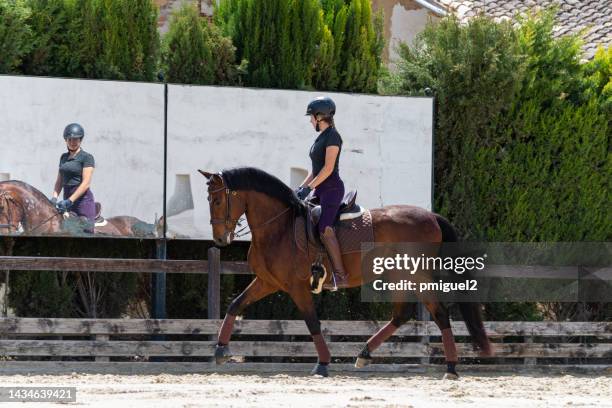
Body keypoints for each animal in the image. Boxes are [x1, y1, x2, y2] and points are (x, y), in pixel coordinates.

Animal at [198, 167, 494, 380]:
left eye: (217, 200)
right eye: (208, 200)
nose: (220, 239)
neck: (278, 227)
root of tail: (431, 216)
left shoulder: (296, 287)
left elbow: (312, 323)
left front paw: (323, 364)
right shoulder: (267, 282)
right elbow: (236, 305)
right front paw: (220, 349)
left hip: (416, 276)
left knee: (439, 313)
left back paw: (451, 367)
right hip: (399, 276)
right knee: (402, 314)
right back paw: (364, 353)